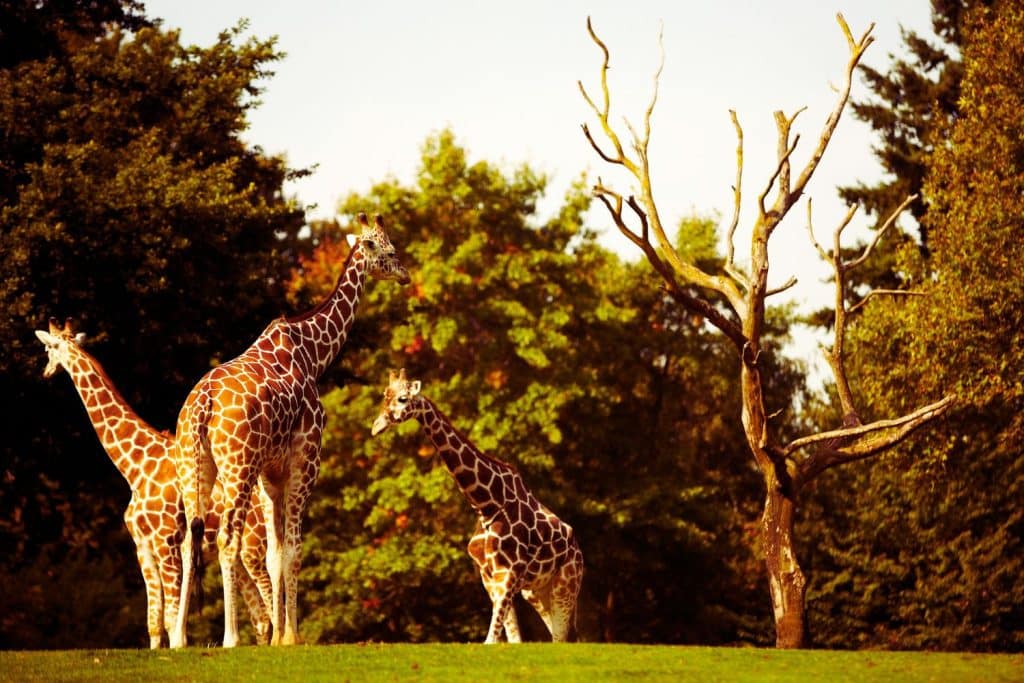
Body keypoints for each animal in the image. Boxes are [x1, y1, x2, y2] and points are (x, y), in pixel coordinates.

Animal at [37, 317, 276, 651]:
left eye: (49, 348)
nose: (45, 373)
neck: (135, 468)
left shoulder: (166, 541)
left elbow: (172, 615)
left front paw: (179, 646)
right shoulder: (143, 545)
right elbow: (154, 620)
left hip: (253, 546)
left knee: (269, 597)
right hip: (236, 555)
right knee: (259, 615)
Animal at [171, 211, 407, 647]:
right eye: (389, 250)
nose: (405, 274)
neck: (314, 353)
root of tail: (202, 405)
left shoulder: (271, 474)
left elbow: (274, 553)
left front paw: (279, 636)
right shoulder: (305, 459)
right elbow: (294, 549)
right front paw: (293, 637)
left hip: (194, 466)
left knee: (186, 541)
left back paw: (179, 638)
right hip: (238, 467)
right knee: (226, 538)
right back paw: (230, 638)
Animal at [372, 370, 589, 643]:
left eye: (403, 398)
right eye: (384, 395)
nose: (376, 426)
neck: (487, 505)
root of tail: (577, 548)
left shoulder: (508, 573)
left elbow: (491, 639)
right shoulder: (490, 578)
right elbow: (510, 639)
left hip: (566, 583)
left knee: (562, 637)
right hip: (537, 592)